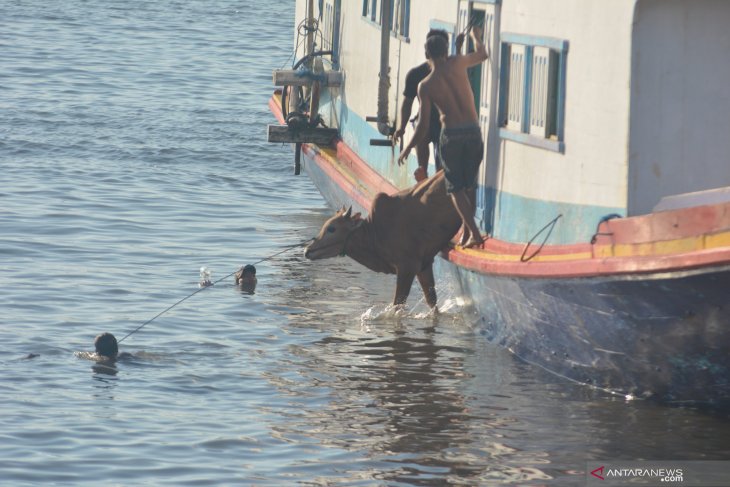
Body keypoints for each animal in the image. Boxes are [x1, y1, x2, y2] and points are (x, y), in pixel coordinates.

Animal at [304, 171, 458, 308]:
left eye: (332, 228)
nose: (307, 250)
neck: (375, 234)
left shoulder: (408, 266)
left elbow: (397, 305)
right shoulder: (424, 265)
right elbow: (432, 302)